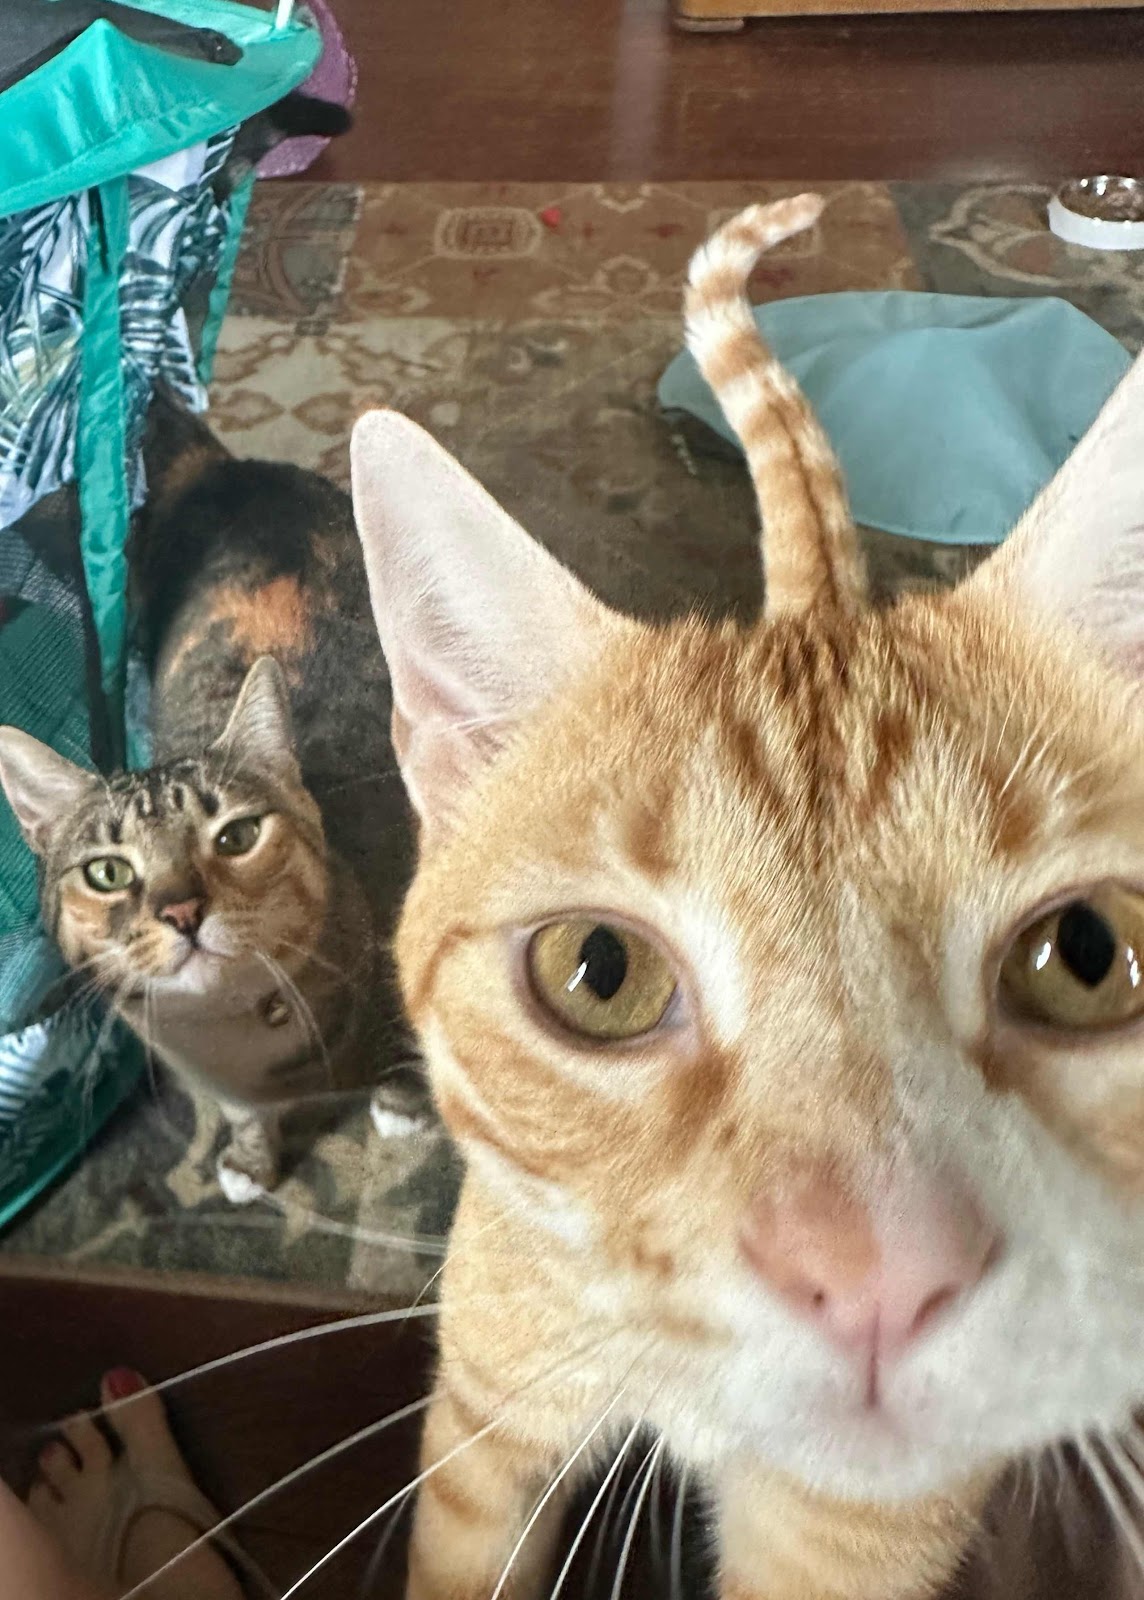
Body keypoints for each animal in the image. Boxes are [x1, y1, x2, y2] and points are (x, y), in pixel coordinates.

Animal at [0, 396, 419, 1201]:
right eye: (108, 872)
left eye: (236, 837)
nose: (182, 911)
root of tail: (223, 470)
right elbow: (244, 1115)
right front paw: (251, 1159)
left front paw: (402, 1100)